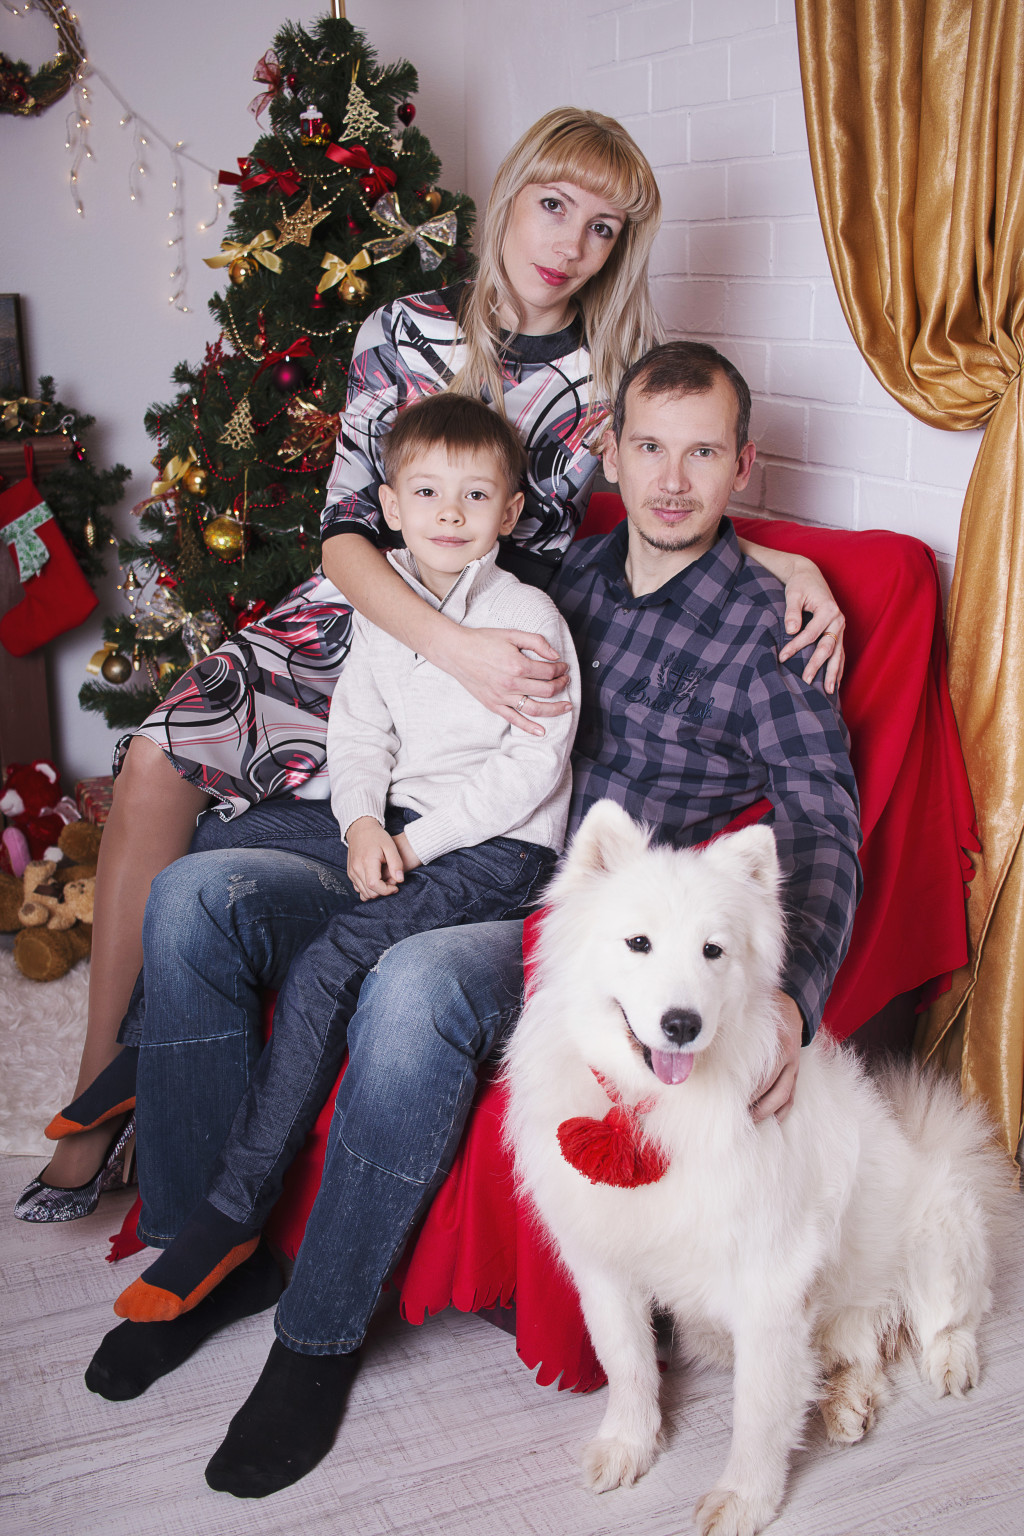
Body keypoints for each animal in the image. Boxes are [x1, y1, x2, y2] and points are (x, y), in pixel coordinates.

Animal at [503, 799, 1008, 1536]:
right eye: (638, 943)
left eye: (713, 951)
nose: (682, 1024)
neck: (653, 1115)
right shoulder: (605, 1265)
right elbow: (629, 1366)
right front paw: (629, 1446)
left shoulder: (769, 1285)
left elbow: (759, 1411)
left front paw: (745, 1498)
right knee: (861, 1349)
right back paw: (847, 1405)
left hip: (937, 1235)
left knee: (947, 1317)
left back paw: (946, 1366)